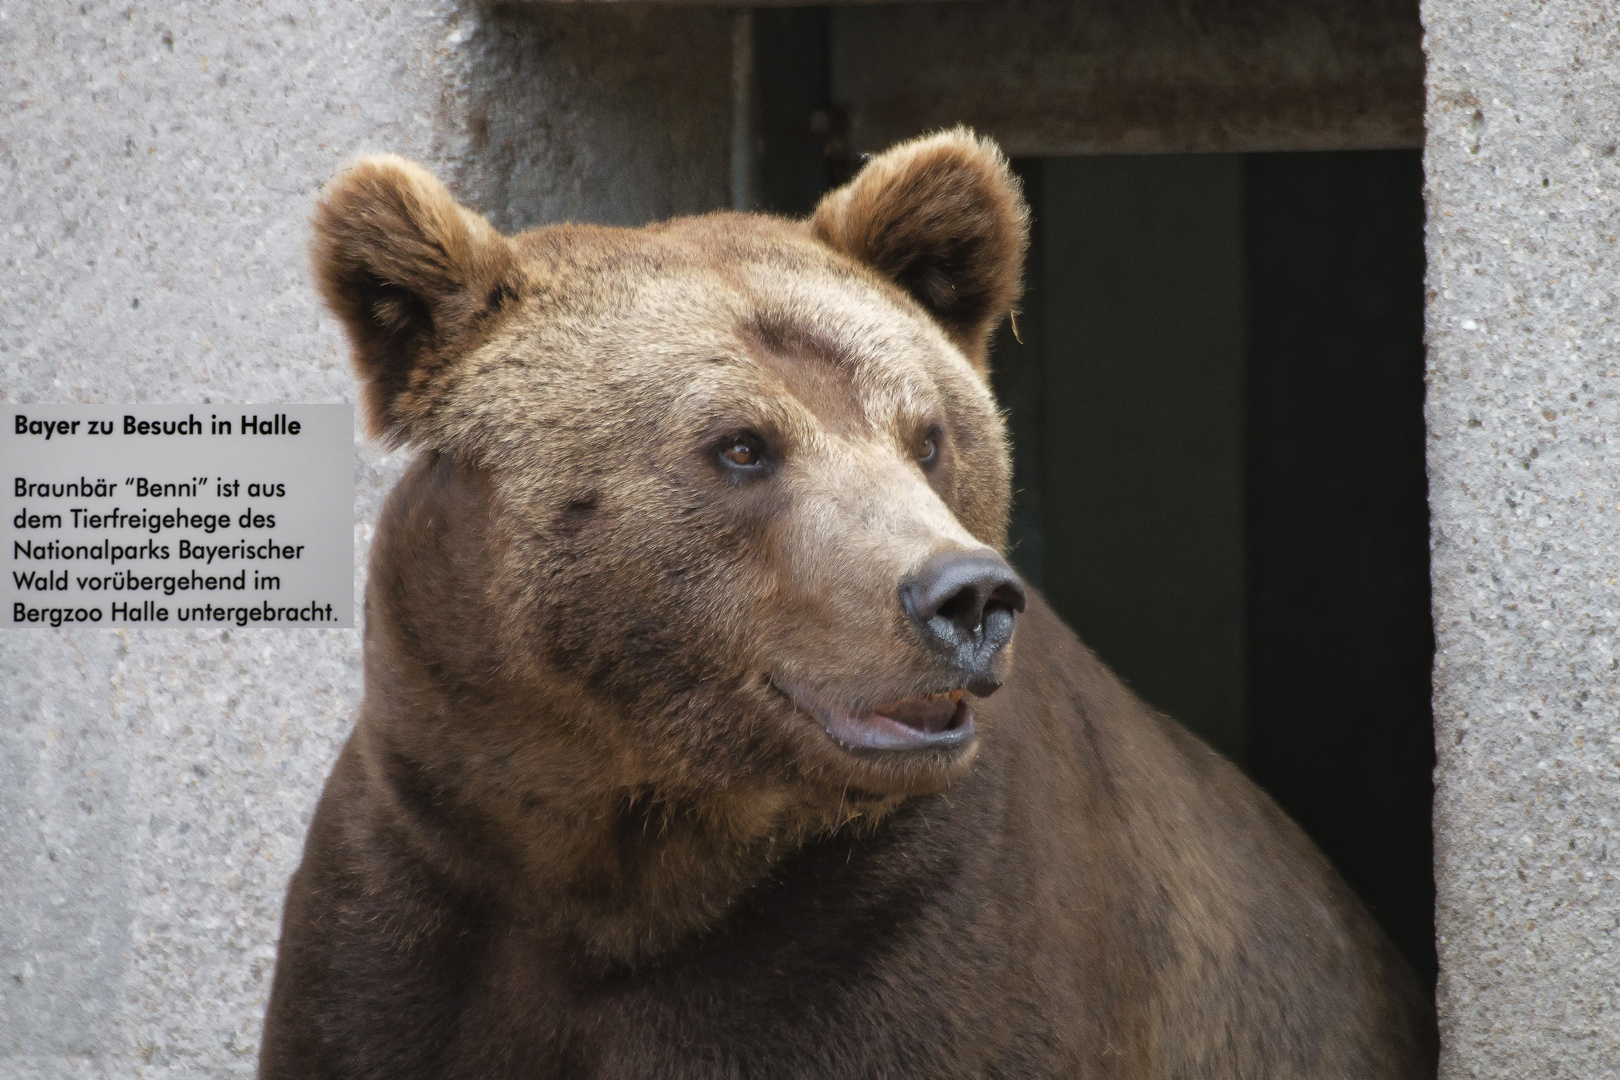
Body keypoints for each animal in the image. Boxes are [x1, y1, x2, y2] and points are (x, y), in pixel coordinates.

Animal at [259, 131, 1438, 1075]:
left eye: (929, 436)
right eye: (740, 446)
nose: (967, 596)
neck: (623, 859)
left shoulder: (910, 944)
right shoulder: (414, 891)